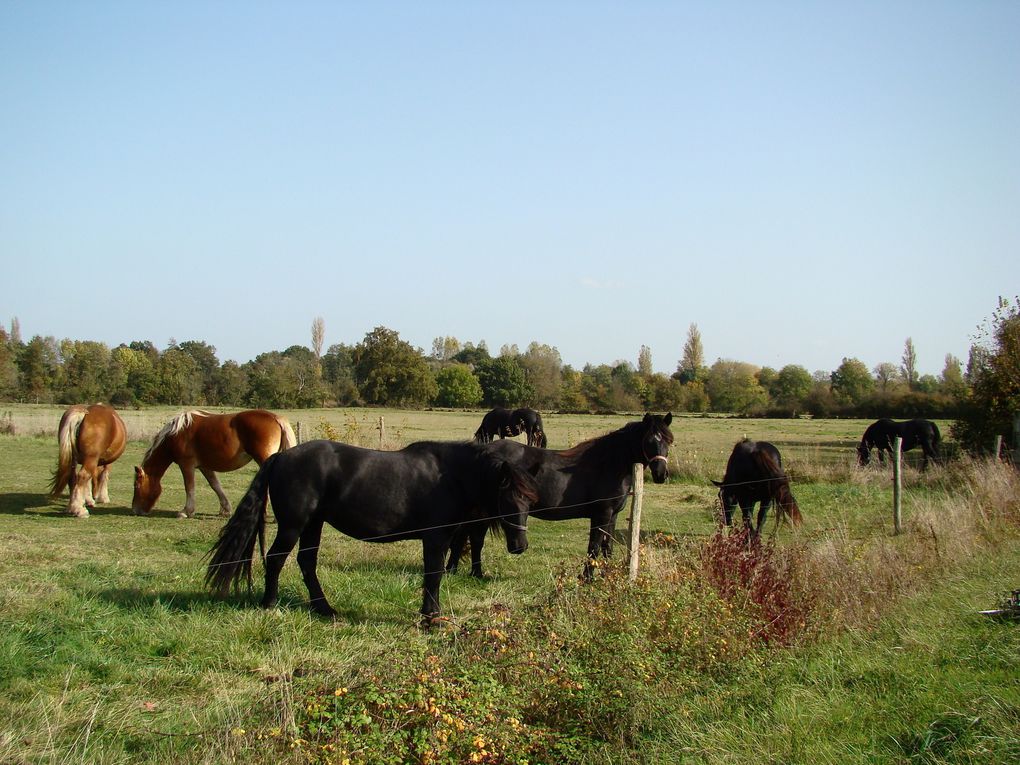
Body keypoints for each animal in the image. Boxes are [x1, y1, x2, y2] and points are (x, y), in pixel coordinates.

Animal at [131, 408, 295, 522]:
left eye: (137, 486)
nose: (135, 510)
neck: (176, 433)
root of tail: (276, 418)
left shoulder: (186, 464)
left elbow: (189, 487)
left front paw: (186, 511)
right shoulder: (205, 467)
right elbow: (215, 485)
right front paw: (226, 509)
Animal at [208, 440, 542, 624]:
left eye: (529, 501)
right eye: (506, 499)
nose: (520, 545)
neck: (449, 476)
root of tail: (281, 457)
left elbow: (433, 575)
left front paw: (429, 615)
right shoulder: (434, 538)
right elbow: (433, 575)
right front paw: (431, 619)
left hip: (314, 524)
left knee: (307, 563)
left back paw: (324, 609)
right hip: (294, 524)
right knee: (276, 559)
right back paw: (270, 605)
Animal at [450, 416, 673, 579]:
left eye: (669, 441)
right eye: (649, 441)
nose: (661, 474)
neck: (608, 464)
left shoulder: (613, 515)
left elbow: (607, 547)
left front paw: (606, 575)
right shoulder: (601, 513)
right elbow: (594, 547)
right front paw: (587, 578)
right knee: (474, 538)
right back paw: (473, 573)